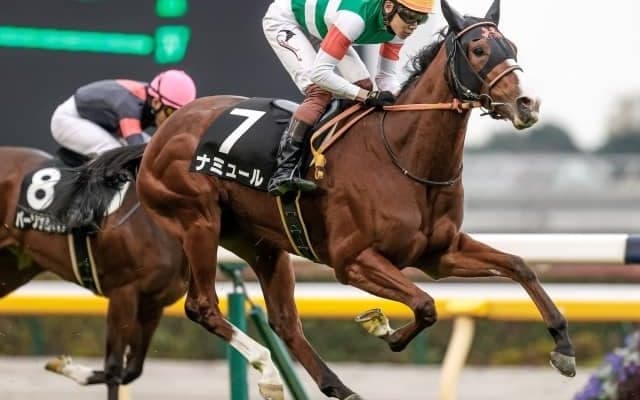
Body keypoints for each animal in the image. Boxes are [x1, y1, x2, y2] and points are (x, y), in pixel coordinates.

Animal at [0, 146, 188, 400]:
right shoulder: (124, 293)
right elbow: (113, 370)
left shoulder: (154, 303)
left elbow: (132, 370)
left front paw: (62, 365)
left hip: (11, 267)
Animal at [47, 0, 576, 398]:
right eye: (479, 47)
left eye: (513, 47)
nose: (528, 104)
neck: (404, 157)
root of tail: (160, 136)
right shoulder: (353, 260)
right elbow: (425, 305)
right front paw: (383, 330)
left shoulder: (439, 253)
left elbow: (519, 266)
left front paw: (563, 347)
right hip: (198, 220)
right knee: (203, 306)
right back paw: (266, 369)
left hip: (263, 245)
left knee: (285, 322)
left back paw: (336, 387)